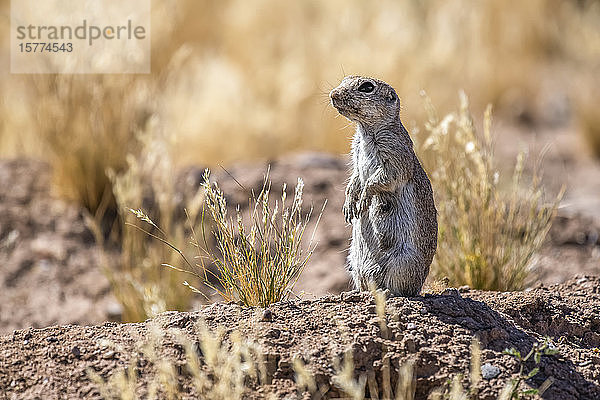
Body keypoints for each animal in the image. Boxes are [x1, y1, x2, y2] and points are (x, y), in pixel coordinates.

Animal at [330, 75, 438, 296]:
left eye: (367, 87)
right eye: (345, 79)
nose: (332, 94)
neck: (365, 131)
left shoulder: (394, 152)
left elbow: (383, 179)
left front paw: (363, 199)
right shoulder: (355, 154)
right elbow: (355, 177)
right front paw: (348, 204)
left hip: (404, 263)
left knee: (403, 289)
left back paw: (387, 292)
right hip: (354, 262)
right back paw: (356, 292)